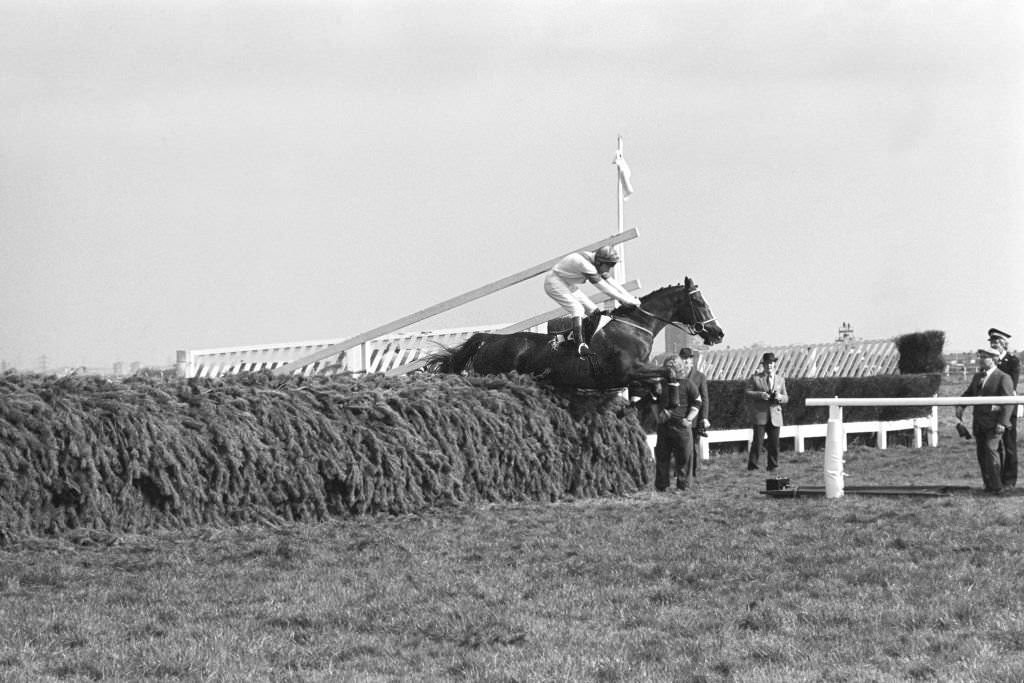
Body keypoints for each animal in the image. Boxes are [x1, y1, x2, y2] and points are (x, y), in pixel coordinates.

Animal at [419, 276, 724, 389]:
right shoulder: (625, 373)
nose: (717, 332)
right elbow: (666, 372)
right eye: (700, 303)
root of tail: (489, 339)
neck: (634, 328)